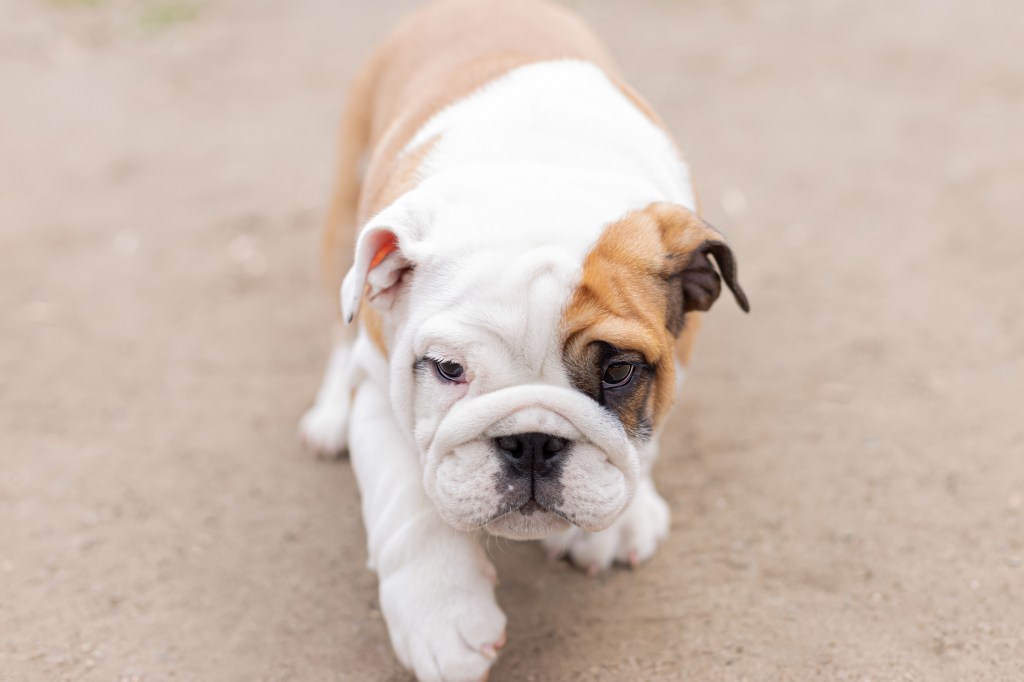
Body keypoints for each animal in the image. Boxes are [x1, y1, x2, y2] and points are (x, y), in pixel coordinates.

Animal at [296, 2, 745, 675]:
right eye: (447, 369)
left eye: (619, 372)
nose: (531, 441)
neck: (540, 176)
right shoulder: (380, 383)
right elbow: (408, 505)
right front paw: (442, 618)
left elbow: (642, 446)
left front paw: (621, 519)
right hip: (344, 219)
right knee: (337, 322)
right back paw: (329, 416)